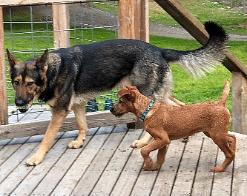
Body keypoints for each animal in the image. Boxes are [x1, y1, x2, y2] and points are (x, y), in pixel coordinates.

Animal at [7, 21, 228, 165]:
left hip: (147, 95)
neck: (53, 70)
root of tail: (159, 49)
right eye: (16, 83)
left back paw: (144, 142)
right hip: (161, 94)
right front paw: (79, 142)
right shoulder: (78, 105)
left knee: (156, 115)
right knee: (179, 106)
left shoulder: (60, 111)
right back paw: (184, 135)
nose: (18, 103)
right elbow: (82, 125)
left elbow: (46, 137)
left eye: (30, 83)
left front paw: (36, 158)